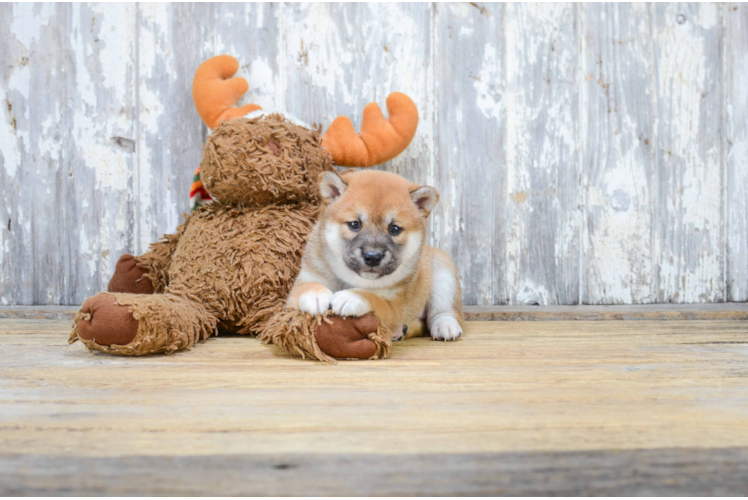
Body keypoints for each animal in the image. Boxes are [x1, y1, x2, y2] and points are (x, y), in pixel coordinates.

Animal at [286, 170, 462, 342]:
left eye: (394, 229)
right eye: (354, 224)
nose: (372, 257)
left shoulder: (394, 306)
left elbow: (372, 297)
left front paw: (351, 297)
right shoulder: (306, 279)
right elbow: (306, 287)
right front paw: (315, 295)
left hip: (443, 273)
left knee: (444, 312)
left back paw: (445, 326)